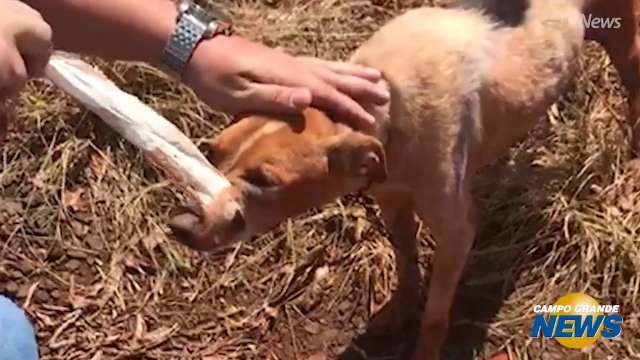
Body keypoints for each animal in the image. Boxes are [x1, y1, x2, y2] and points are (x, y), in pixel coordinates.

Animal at [170, 0, 632, 360]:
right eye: (213, 151)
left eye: (266, 180)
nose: (180, 226)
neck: (386, 91)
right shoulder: (392, 200)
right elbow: (406, 265)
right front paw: (397, 311)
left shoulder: (456, 230)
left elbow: (435, 316)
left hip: (628, 44)